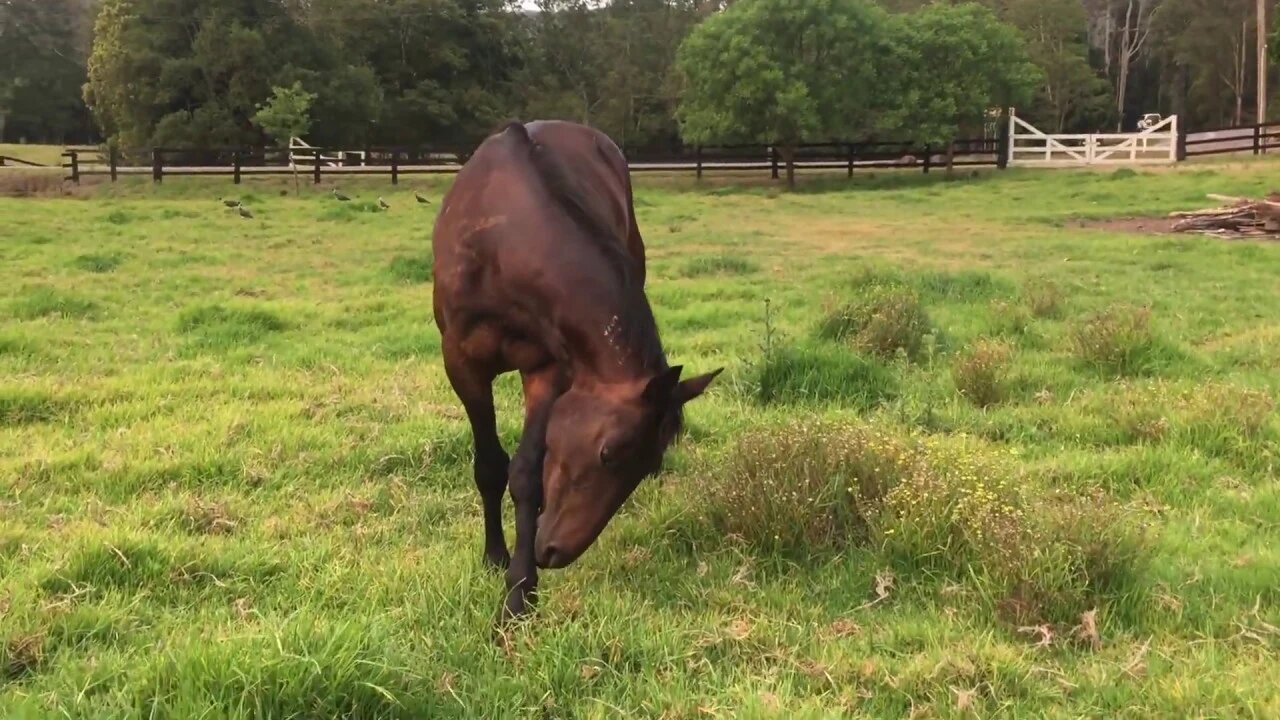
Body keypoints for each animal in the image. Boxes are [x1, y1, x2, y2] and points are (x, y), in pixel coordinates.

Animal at [432, 120, 721, 620]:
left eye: (648, 464)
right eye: (610, 453)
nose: (555, 552)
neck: (502, 247)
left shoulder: (549, 368)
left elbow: (527, 473)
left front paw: (520, 591)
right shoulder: (463, 363)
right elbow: (490, 466)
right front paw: (496, 558)